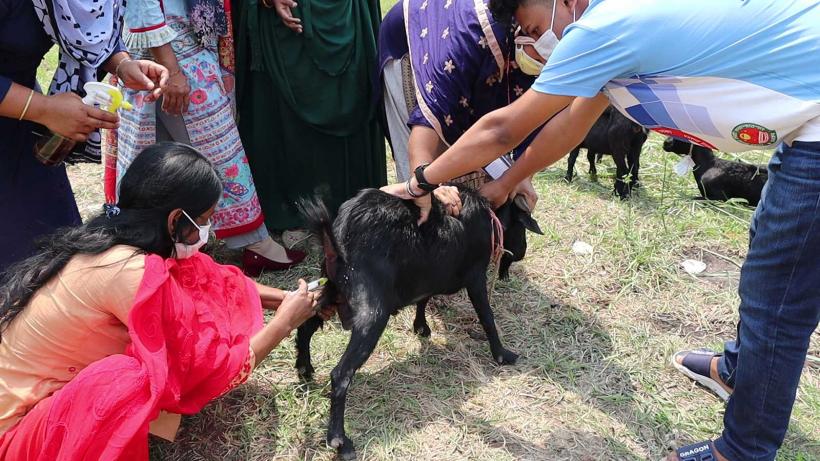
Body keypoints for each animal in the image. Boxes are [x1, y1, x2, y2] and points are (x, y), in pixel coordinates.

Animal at [298, 185, 540, 458]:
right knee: (341, 373)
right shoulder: (475, 277)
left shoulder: (428, 274)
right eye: (522, 227)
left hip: (331, 291)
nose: (522, 252)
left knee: (305, 327)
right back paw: (339, 440)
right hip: (372, 313)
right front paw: (502, 354)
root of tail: (338, 236)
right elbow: (487, 316)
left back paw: (304, 368)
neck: (490, 217)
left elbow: (424, 299)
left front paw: (421, 327)